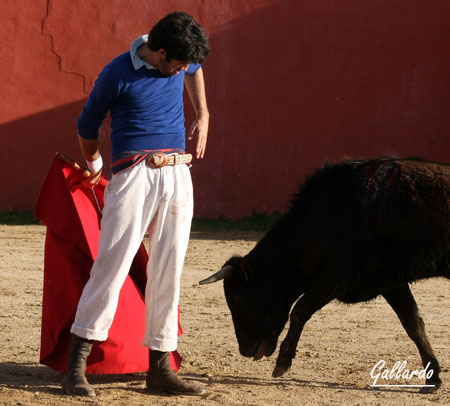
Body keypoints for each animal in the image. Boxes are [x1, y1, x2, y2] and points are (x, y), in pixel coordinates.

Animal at [200, 159, 450, 394]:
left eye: (237, 299)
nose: (244, 349)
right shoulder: (391, 282)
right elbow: (412, 322)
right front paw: (433, 378)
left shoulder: (337, 278)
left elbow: (300, 310)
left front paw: (282, 363)